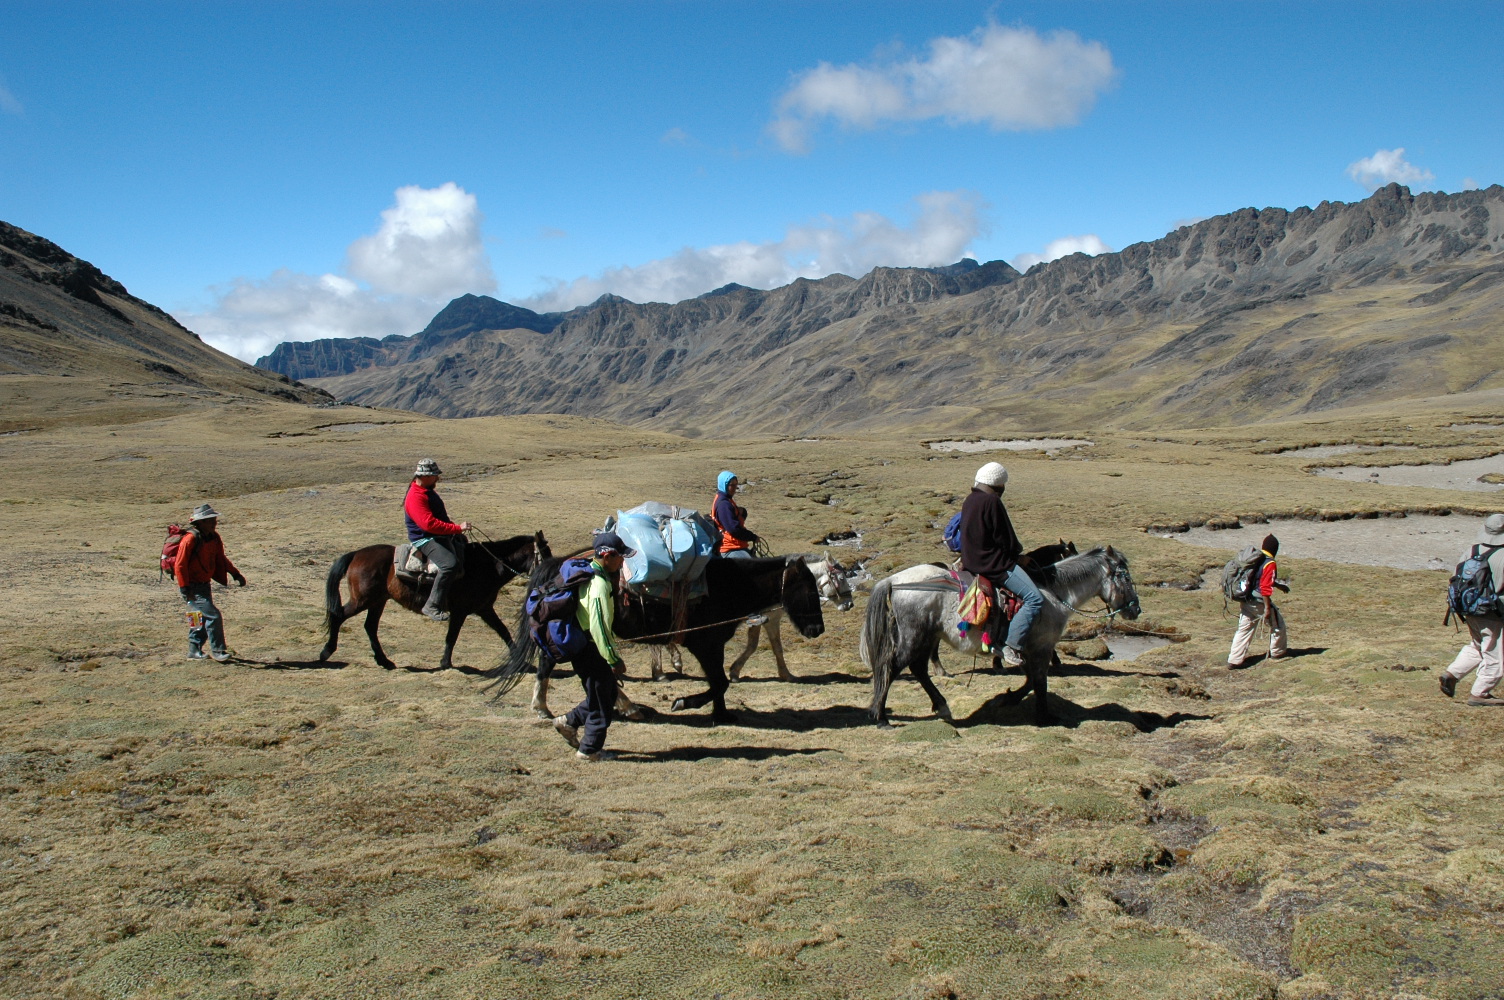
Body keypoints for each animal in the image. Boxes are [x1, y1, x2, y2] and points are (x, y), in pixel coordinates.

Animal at [320, 529, 550, 670]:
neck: (489, 566)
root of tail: (356, 554)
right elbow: (452, 636)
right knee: (338, 615)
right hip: (363, 600)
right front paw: (445, 663)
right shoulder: (460, 611)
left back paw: (385, 661)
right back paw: (326, 652)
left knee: (370, 627)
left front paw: (521, 661)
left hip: (378, 601)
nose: (552, 580)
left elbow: (503, 631)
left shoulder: (484, 608)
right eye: (545, 555)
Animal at [490, 553, 824, 724]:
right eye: (810, 590)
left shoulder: (712, 647)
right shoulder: (706, 645)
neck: (731, 585)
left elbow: (719, 682)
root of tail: (555, 567)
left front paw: (721, 713)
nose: (817, 630)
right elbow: (719, 682)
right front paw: (684, 703)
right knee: (561, 664)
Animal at [860, 547, 1137, 724]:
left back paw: (942, 706)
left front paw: (1005, 699)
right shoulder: (1042, 647)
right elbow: (1039, 682)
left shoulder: (1026, 649)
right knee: (893, 667)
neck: (1054, 593)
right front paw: (1044, 716)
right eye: (1125, 576)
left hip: (926, 637)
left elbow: (1029, 680)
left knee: (917, 668)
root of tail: (894, 580)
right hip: (915, 636)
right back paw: (880, 716)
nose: (1135, 609)